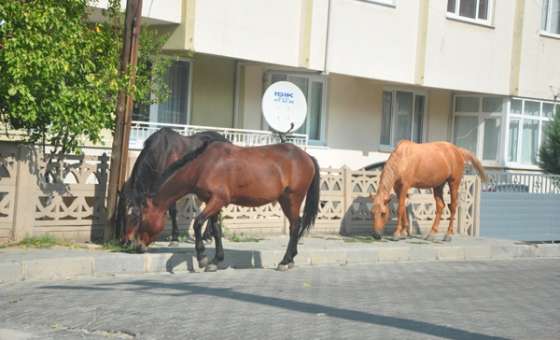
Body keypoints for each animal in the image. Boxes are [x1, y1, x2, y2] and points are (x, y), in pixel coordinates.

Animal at [124, 141, 322, 270]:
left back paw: (285, 261)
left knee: (295, 225)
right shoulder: (212, 202)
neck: (203, 165)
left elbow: (198, 223)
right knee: (296, 225)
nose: (135, 245)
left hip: (292, 199)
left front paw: (202, 258)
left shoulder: (218, 200)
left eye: (140, 217)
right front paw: (216, 260)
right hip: (285, 200)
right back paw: (291, 258)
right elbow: (216, 229)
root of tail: (307, 156)